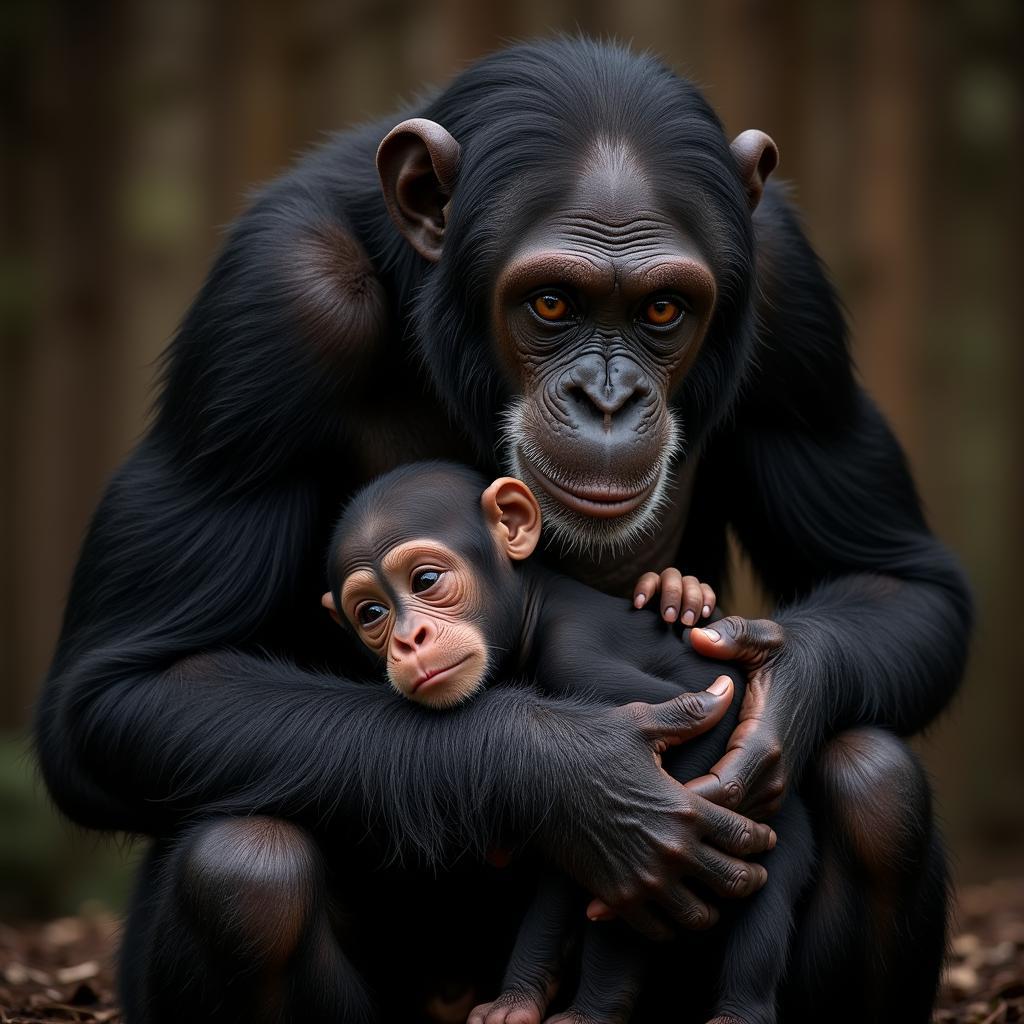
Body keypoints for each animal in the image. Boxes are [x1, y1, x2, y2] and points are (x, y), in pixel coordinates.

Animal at [321, 464, 815, 1024]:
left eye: (425, 581)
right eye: (372, 612)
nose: (409, 639)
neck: (530, 616)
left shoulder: (573, 653)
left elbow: (710, 707)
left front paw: (594, 1011)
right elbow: (579, 835)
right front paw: (519, 997)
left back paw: (739, 1011)